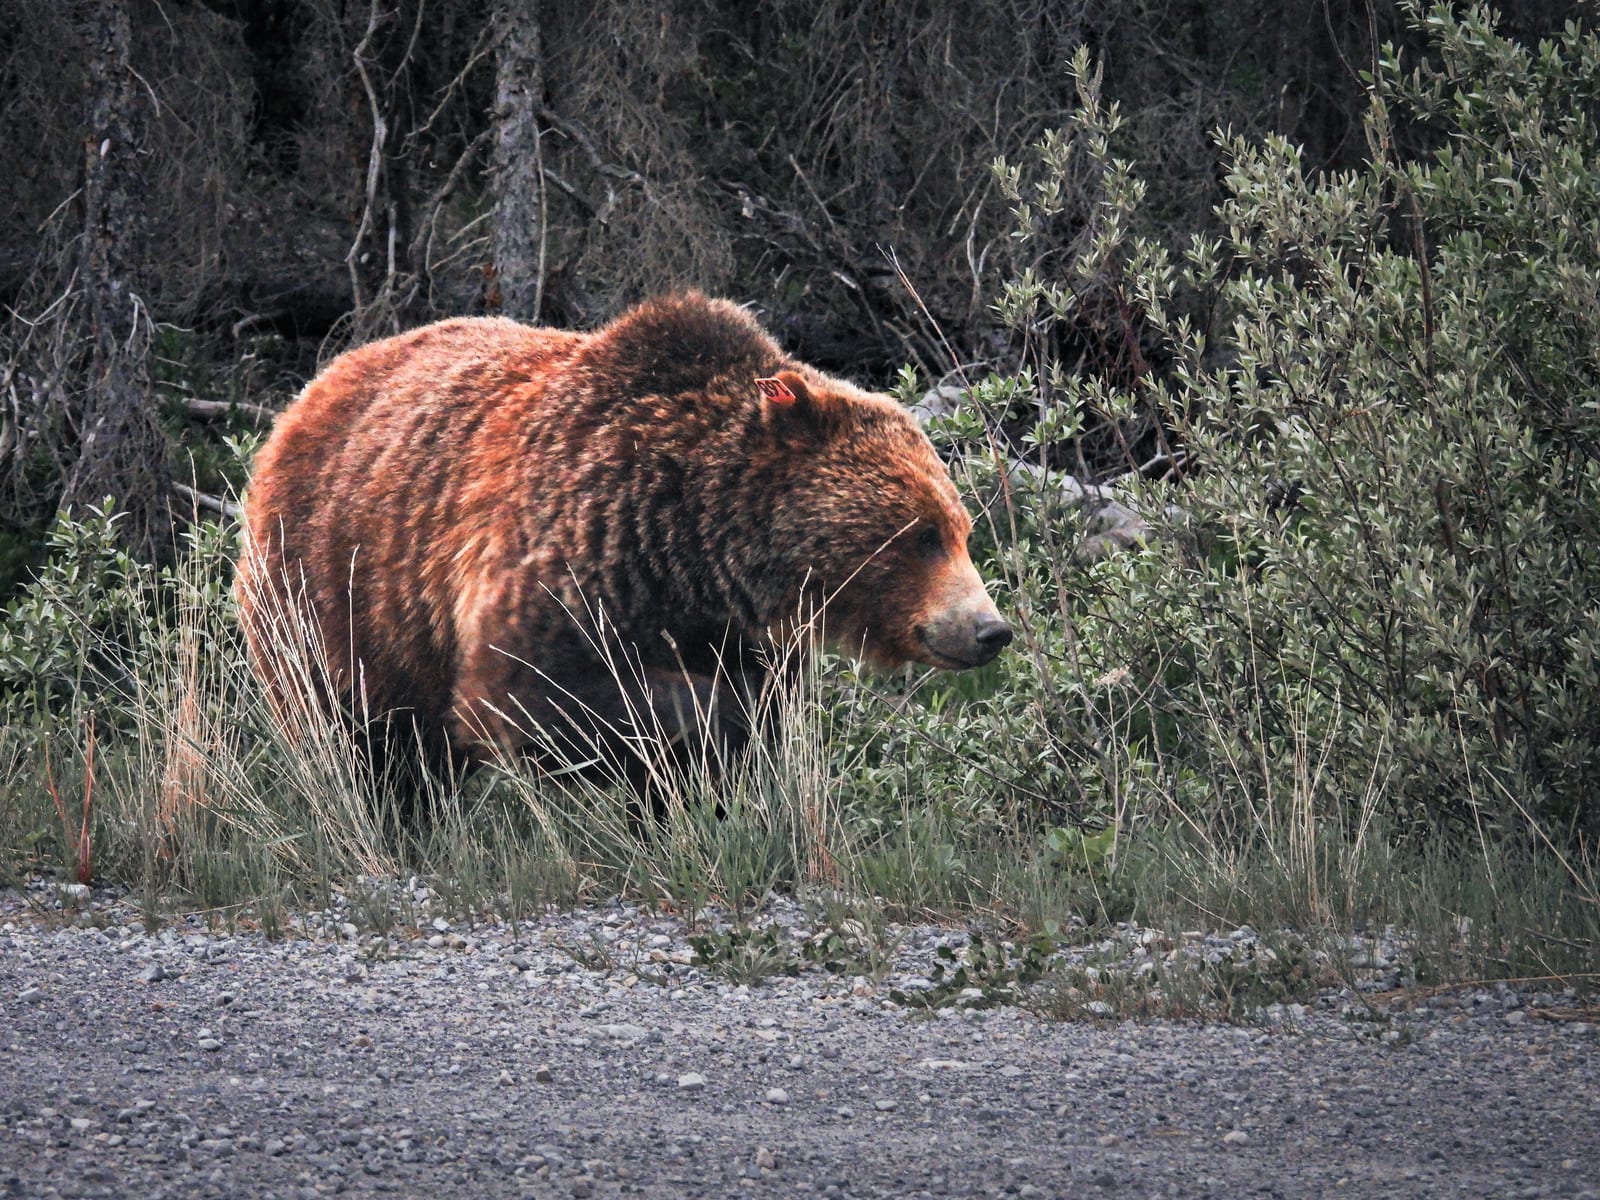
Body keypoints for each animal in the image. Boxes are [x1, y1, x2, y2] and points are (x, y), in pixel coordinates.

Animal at [236, 291, 1010, 783]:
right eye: (922, 535)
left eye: (962, 529)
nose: (989, 629)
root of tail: (311, 390)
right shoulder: (569, 550)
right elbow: (534, 692)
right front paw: (693, 723)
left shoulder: (737, 628)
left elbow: (754, 721)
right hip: (333, 582)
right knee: (361, 734)